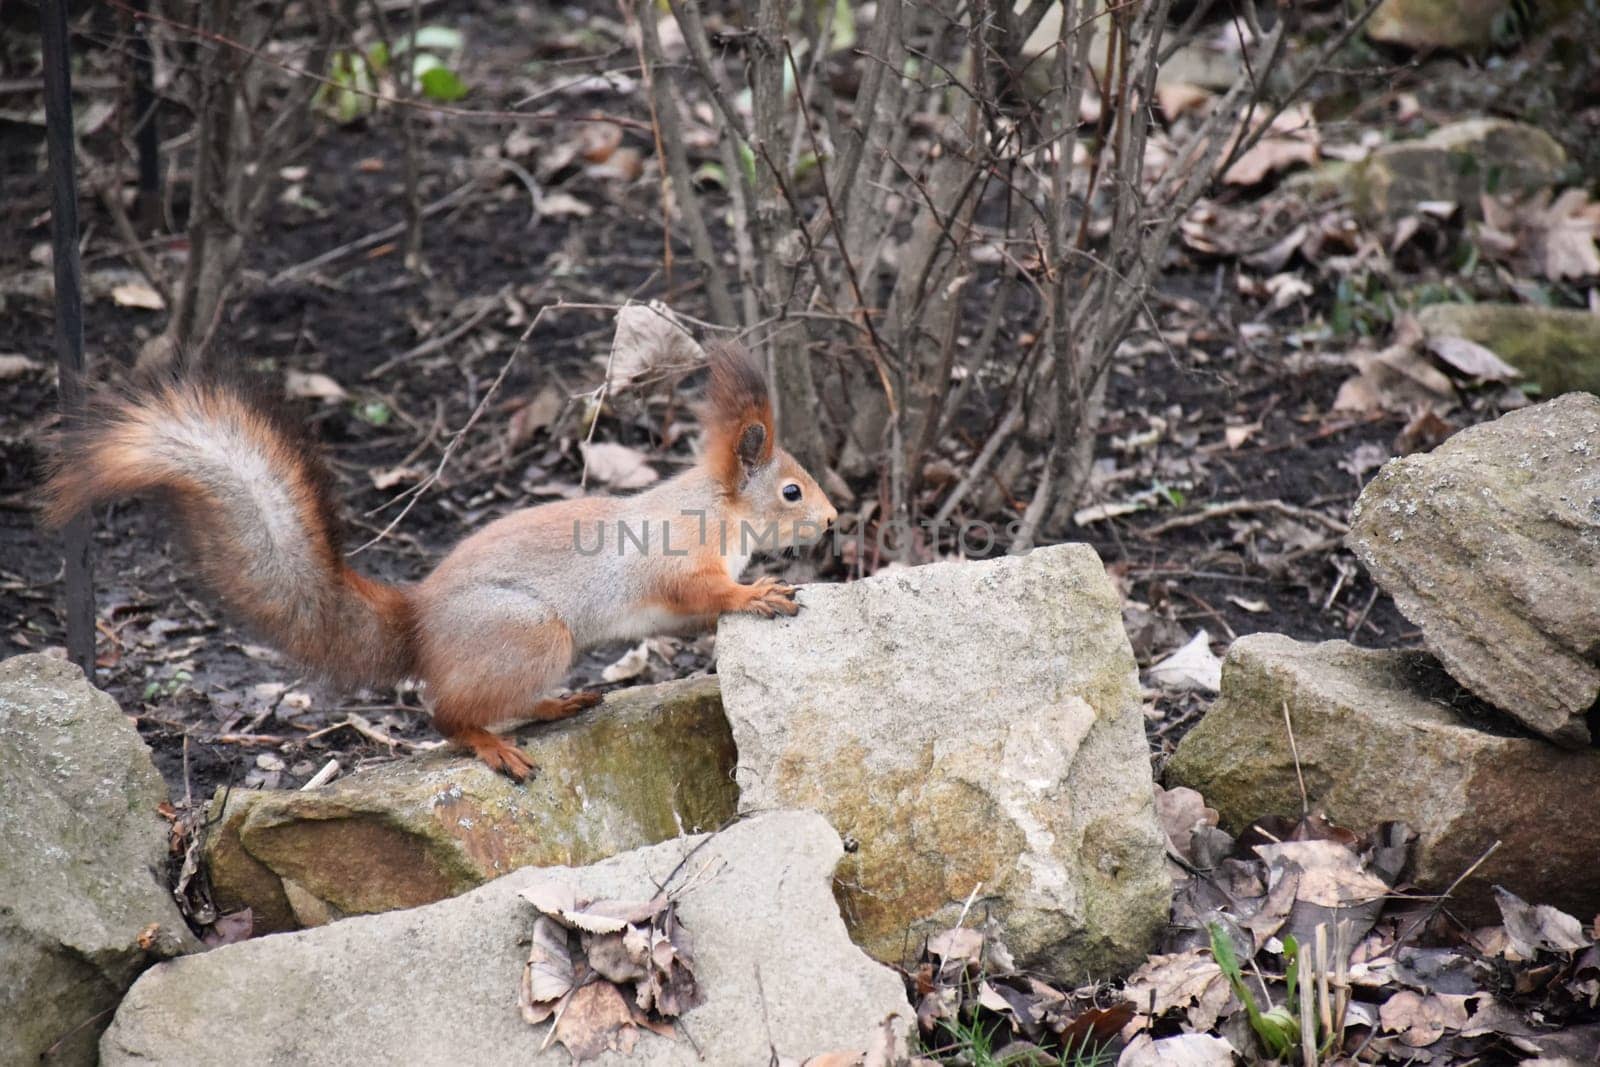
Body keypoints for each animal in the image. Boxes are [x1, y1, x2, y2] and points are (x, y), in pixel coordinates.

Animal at [40, 347, 838, 780]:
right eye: (792, 489)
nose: (834, 520)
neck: (719, 508)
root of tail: (417, 622)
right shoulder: (676, 555)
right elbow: (705, 591)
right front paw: (759, 592)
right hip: (530, 634)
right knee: (447, 714)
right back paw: (495, 746)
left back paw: (557, 705)